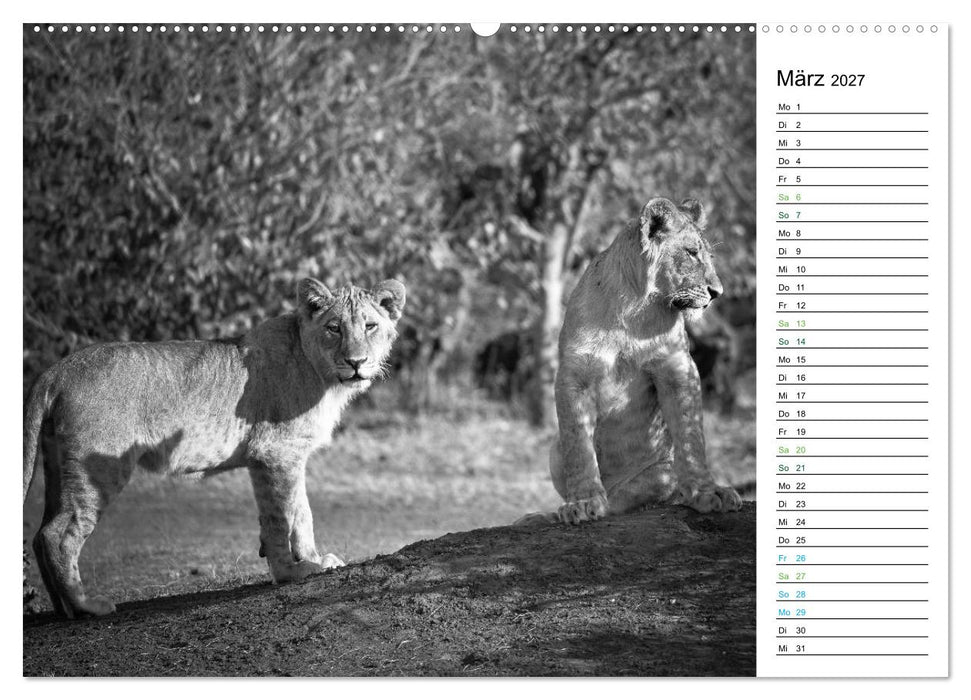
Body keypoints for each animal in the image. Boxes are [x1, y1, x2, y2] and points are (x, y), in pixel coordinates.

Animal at [23, 278, 406, 618]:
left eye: (370, 326)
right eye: (334, 328)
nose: (356, 362)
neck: (321, 374)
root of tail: (57, 370)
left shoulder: (275, 457)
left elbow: (290, 513)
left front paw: (302, 563)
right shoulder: (276, 452)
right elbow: (286, 516)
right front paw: (296, 571)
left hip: (58, 464)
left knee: (40, 534)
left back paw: (63, 610)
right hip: (101, 467)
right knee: (58, 535)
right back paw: (87, 606)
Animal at [520, 197, 742, 526]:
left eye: (709, 256)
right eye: (691, 252)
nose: (717, 293)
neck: (633, 309)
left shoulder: (677, 365)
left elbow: (691, 435)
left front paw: (708, 492)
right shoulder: (574, 373)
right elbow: (578, 445)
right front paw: (582, 502)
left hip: (661, 473)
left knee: (629, 497)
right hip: (553, 449)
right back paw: (543, 515)